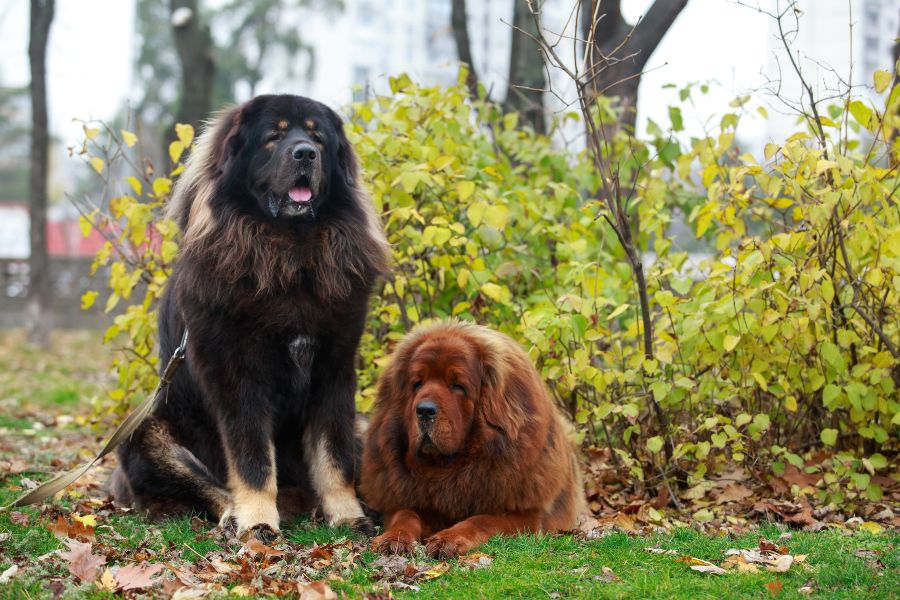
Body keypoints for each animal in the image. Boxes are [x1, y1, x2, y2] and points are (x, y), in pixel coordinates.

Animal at [109, 96, 386, 540]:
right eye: (274, 136)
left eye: (317, 138)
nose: (305, 153)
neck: (290, 257)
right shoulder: (238, 378)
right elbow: (253, 460)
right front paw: (257, 521)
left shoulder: (334, 372)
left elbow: (335, 456)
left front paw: (347, 515)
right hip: (145, 432)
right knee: (208, 486)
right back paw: (234, 516)